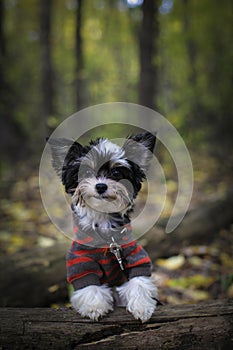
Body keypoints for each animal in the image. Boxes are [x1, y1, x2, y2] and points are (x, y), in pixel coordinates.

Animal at [49, 131, 158, 322]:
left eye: (115, 172)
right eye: (86, 172)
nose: (100, 185)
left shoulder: (136, 257)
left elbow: (139, 281)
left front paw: (142, 307)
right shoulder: (80, 262)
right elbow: (89, 285)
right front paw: (94, 307)